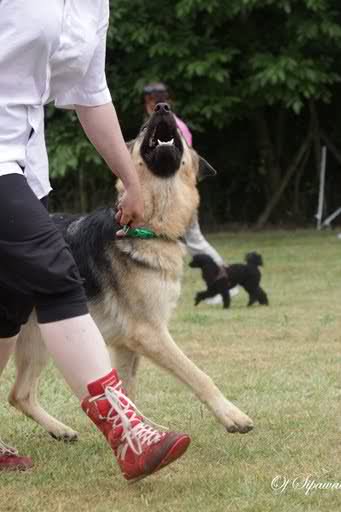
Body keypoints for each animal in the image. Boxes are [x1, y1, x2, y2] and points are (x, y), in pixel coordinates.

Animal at [6, 103, 254, 440]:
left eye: (177, 131)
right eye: (142, 128)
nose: (162, 107)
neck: (149, 228)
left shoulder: (125, 345)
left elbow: (125, 392)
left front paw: (138, 434)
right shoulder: (149, 334)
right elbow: (198, 375)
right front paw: (232, 415)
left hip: (40, 338)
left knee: (19, 394)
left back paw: (60, 430)